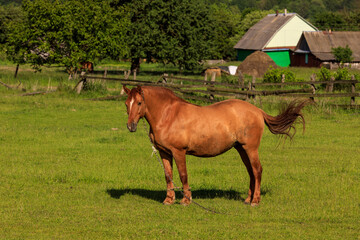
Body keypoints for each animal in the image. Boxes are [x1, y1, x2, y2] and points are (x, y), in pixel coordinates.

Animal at [123, 86, 310, 206]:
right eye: (126, 104)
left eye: (139, 103)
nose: (130, 126)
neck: (169, 115)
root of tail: (257, 111)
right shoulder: (164, 153)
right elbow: (168, 176)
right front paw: (169, 200)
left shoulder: (179, 152)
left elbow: (183, 175)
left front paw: (186, 200)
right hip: (241, 149)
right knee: (251, 172)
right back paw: (248, 199)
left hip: (250, 149)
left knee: (257, 170)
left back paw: (255, 201)